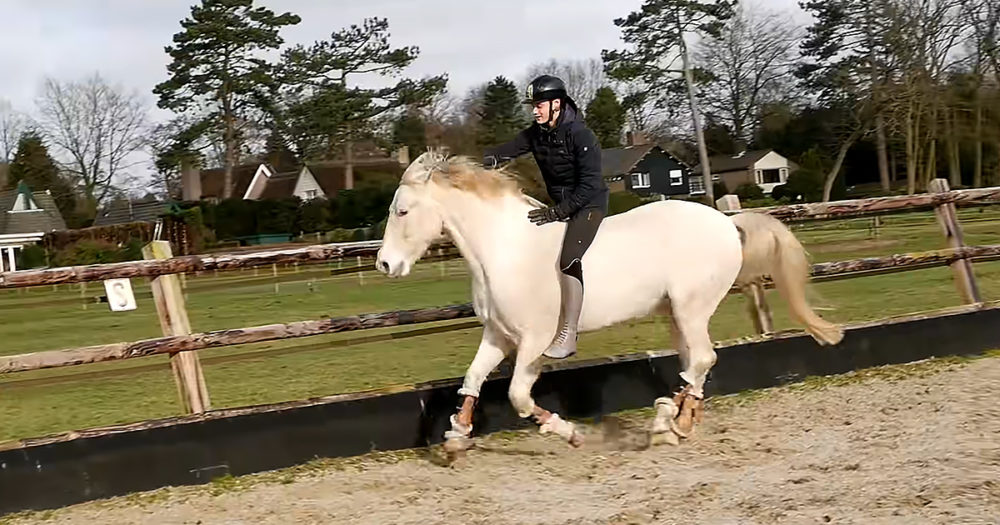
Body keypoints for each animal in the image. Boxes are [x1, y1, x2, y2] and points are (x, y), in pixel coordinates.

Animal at [375, 150, 843, 452]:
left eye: (402, 211)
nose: (384, 264)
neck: (505, 250)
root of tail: (728, 224)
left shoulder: (533, 341)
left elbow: (519, 396)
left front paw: (569, 434)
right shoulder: (498, 335)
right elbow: (472, 379)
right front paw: (456, 436)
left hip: (692, 307)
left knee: (703, 358)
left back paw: (671, 422)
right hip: (676, 314)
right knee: (693, 363)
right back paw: (674, 423)